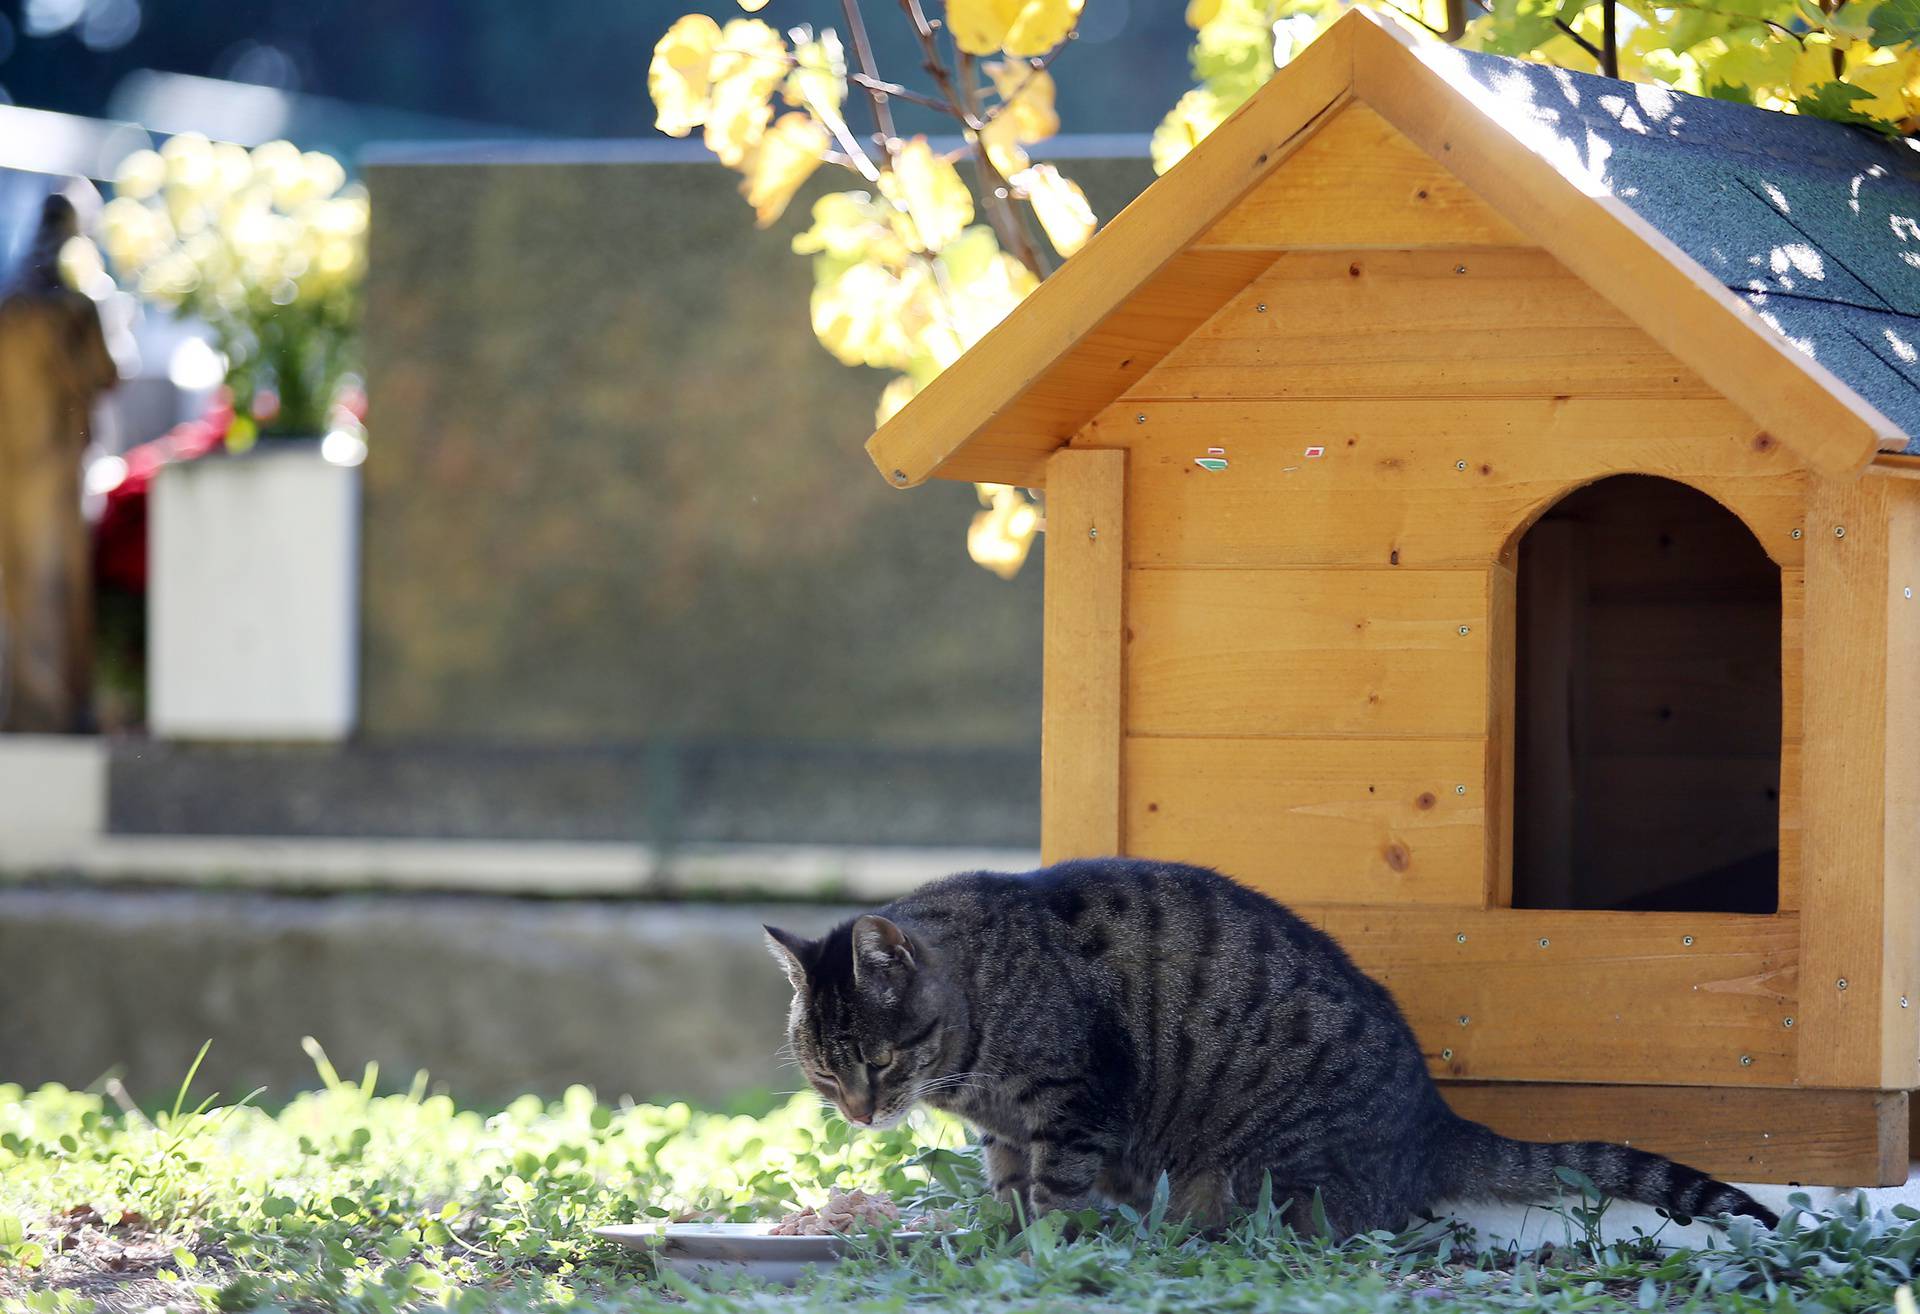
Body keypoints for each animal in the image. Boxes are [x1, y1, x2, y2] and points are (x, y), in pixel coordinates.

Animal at [756, 856, 1774, 1237]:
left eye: (879, 1061)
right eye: (825, 1074)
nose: (860, 1114)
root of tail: (1435, 1123)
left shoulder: (1073, 1097)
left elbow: (1056, 1188)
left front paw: (1046, 1244)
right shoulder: (1007, 1127)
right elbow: (1009, 1187)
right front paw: (1002, 1239)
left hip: (1256, 1174)